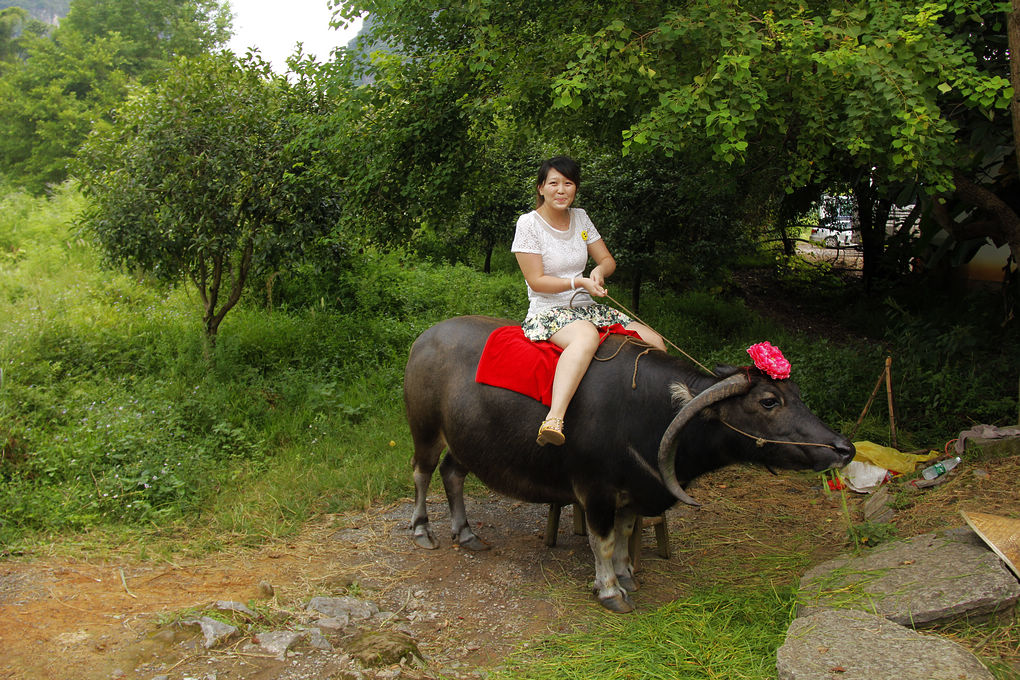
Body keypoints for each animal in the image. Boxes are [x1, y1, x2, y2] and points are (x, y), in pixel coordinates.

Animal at [401, 316, 848, 615]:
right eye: (768, 401)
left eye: (797, 393)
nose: (842, 448)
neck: (649, 409)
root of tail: (424, 339)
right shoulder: (594, 491)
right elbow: (602, 541)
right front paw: (610, 590)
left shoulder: (633, 490)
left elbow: (625, 533)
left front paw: (627, 574)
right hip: (425, 429)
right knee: (422, 473)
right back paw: (423, 530)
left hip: (465, 440)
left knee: (452, 474)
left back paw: (466, 533)